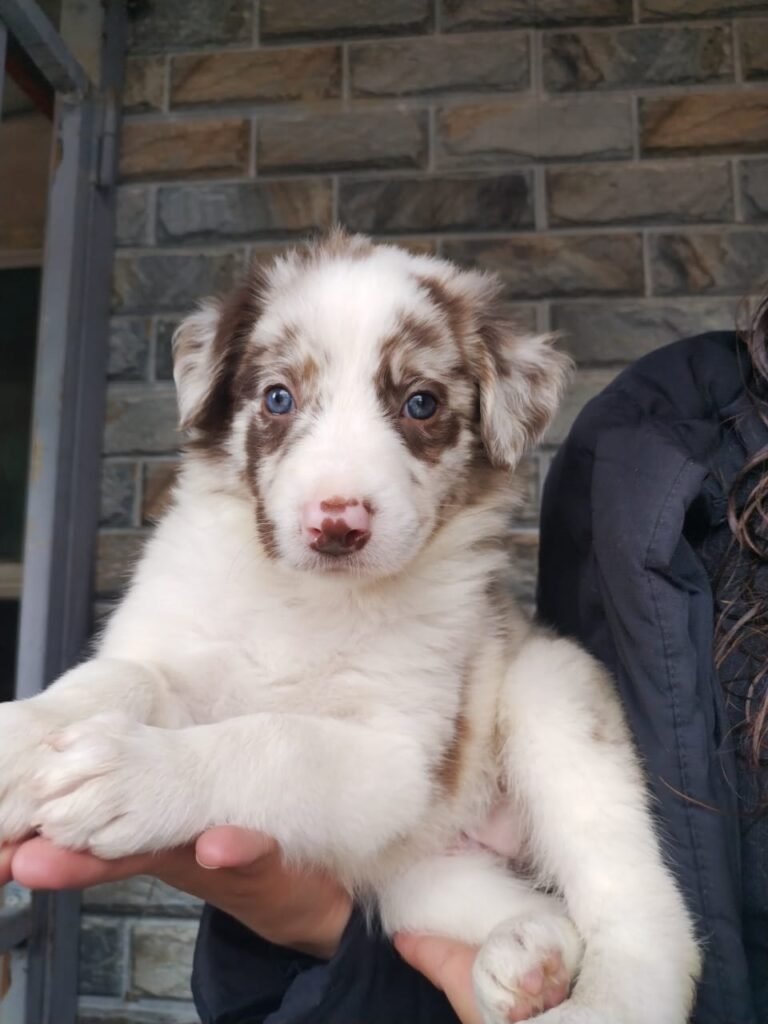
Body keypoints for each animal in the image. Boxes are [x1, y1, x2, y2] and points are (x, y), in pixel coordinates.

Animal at [0, 234, 696, 1024]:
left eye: (421, 403)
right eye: (278, 397)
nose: (337, 525)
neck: (310, 602)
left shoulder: (395, 754)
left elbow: (276, 741)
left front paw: (138, 775)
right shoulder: (184, 653)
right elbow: (120, 678)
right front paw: (22, 735)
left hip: (556, 706)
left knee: (641, 916)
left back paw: (599, 997)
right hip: (409, 875)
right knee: (525, 907)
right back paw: (528, 954)